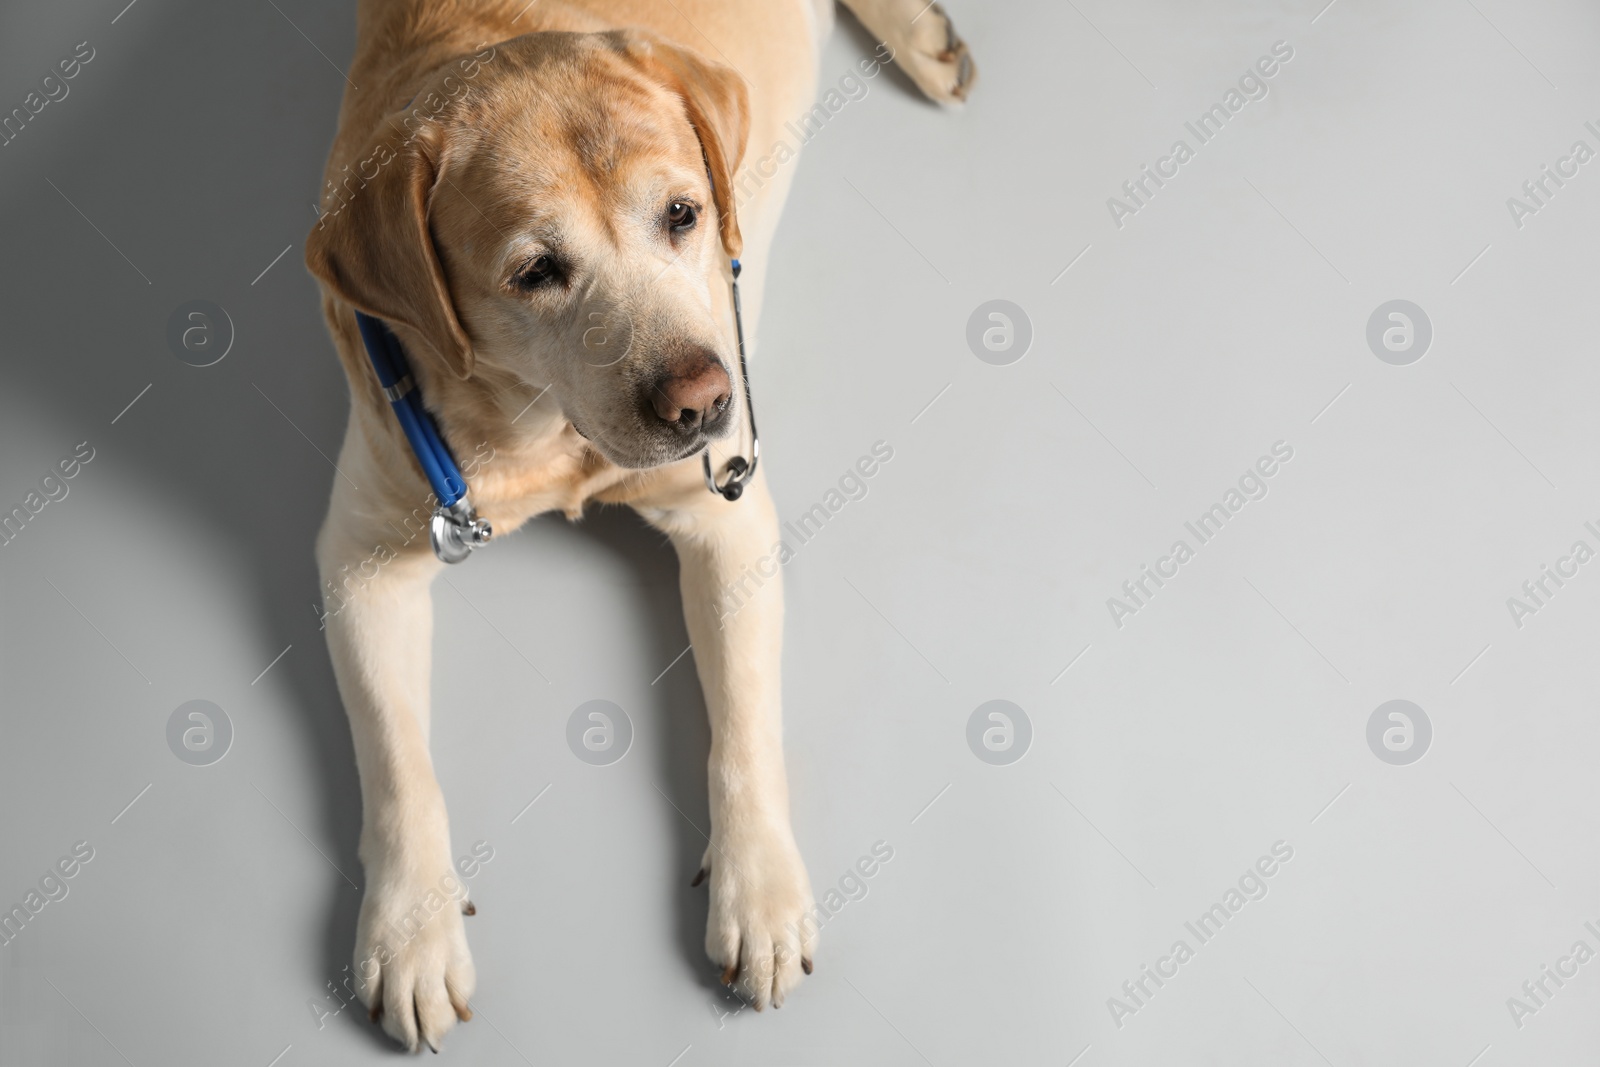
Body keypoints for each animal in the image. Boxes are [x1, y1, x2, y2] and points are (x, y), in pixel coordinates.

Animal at [300, 0, 972, 1049]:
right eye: (536, 270)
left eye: (684, 215)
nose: (704, 399)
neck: (544, 436)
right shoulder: (360, 558)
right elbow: (399, 761)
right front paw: (410, 930)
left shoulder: (729, 515)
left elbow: (743, 723)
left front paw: (758, 890)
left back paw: (923, 40)